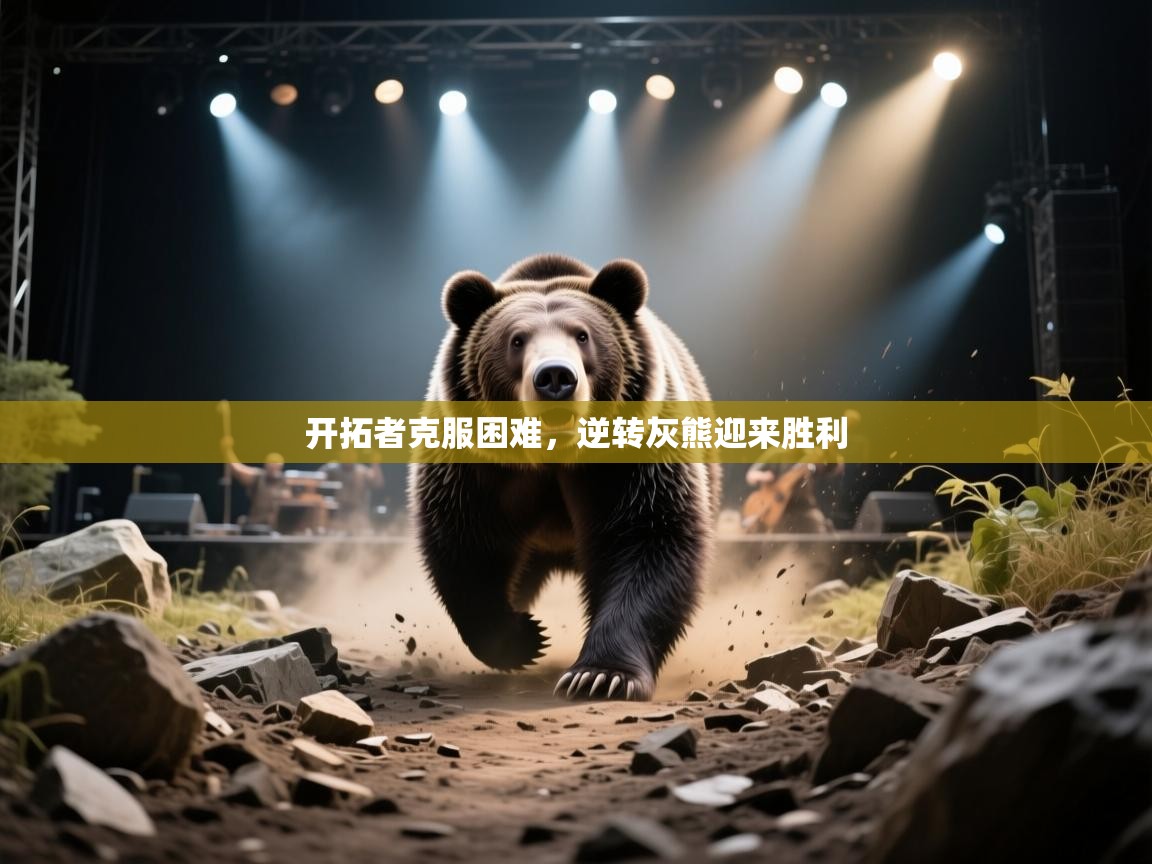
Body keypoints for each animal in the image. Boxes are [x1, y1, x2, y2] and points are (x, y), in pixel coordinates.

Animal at [409, 254, 720, 700]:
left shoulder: (634, 463)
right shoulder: (476, 468)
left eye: (583, 335)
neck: (553, 459)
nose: (555, 377)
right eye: (516, 340)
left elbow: (650, 540)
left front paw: (601, 676)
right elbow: (466, 543)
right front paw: (523, 637)